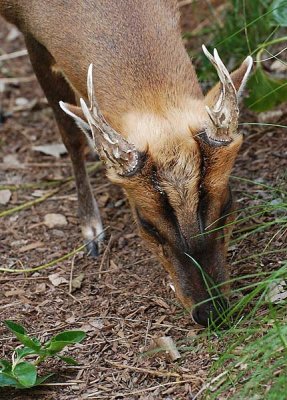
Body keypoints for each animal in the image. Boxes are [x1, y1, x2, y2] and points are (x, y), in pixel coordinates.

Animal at [0, 0, 252, 328]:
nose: (210, 312)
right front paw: (91, 231)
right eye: (145, 223)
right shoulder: (29, 32)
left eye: (228, 204)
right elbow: (70, 135)